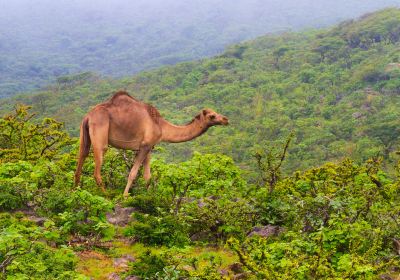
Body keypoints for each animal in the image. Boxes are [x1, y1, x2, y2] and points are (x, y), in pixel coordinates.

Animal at [72, 90, 228, 197]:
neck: (161, 125)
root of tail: (88, 116)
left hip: (84, 133)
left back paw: (75, 191)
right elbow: (133, 173)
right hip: (100, 131)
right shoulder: (144, 145)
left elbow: (147, 176)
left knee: (81, 156)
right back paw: (107, 195)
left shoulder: (150, 147)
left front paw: (149, 197)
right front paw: (125, 196)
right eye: (212, 116)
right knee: (97, 170)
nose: (225, 119)